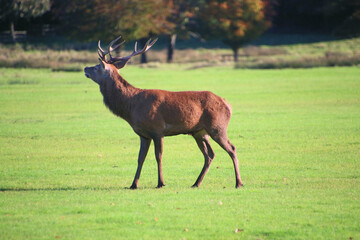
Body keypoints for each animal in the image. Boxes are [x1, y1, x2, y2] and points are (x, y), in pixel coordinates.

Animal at [83, 36, 243, 189]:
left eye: (97, 67)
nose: (85, 68)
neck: (132, 106)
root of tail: (228, 105)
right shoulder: (143, 134)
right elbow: (140, 158)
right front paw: (133, 184)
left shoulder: (157, 129)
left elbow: (158, 156)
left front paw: (161, 183)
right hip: (199, 132)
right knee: (210, 154)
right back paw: (196, 183)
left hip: (217, 127)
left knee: (232, 148)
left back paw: (238, 183)